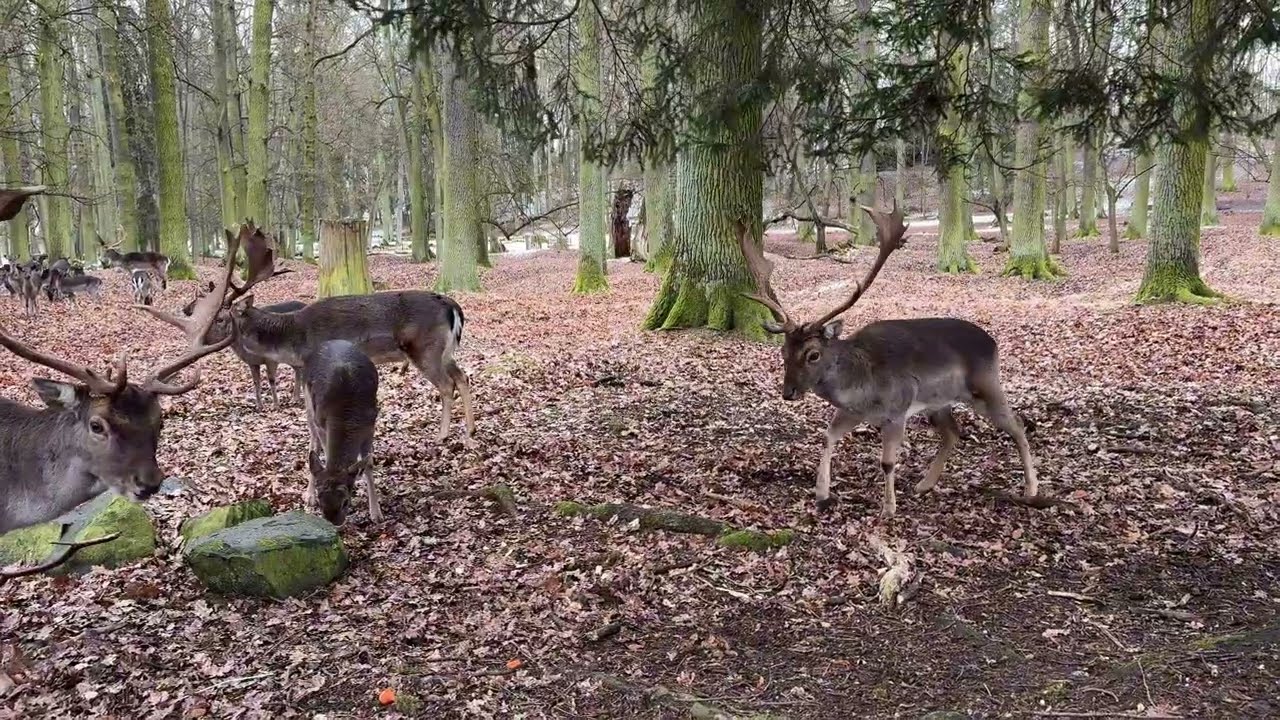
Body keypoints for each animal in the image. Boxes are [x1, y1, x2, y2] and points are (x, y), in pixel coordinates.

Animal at [302, 339, 381, 525]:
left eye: (346, 501)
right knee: (313, 443)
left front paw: (376, 513)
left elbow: (368, 464)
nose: (334, 523)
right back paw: (308, 496)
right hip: (308, 402)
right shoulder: (322, 424)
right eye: (321, 499)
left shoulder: (370, 426)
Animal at [737, 204, 1039, 519]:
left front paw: (888, 508)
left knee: (1017, 424)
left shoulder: (897, 410)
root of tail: (993, 342)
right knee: (953, 433)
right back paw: (924, 484)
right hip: (937, 403)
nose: (788, 392)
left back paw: (1031, 489)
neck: (862, 385)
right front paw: (821, 494)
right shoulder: (852, 412)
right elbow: (828, 437)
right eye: (783, 352)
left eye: (813, 354)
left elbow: (887, 462)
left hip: (987, 386)